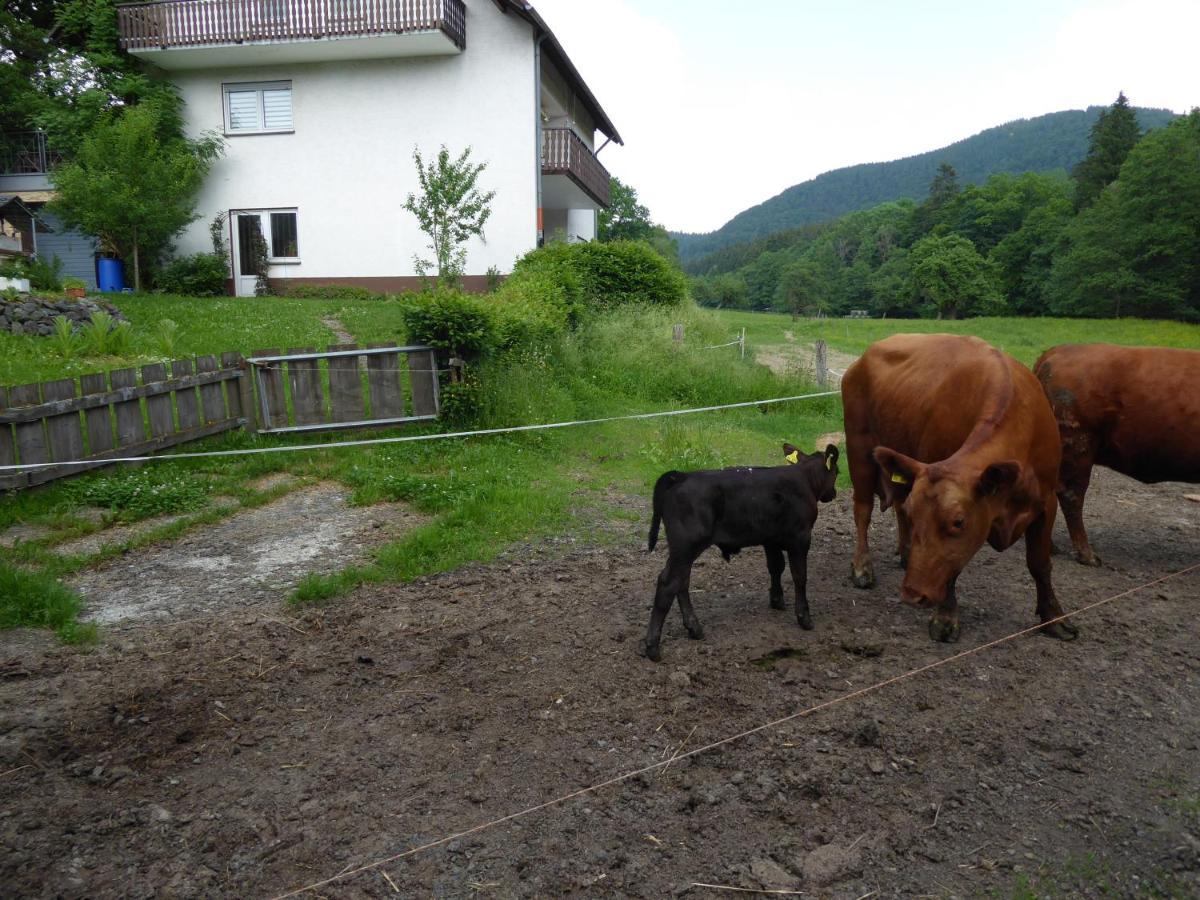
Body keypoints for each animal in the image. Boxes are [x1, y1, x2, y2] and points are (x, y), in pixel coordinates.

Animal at [643, 444, 840, 662]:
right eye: (837, 472)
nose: (833, 493)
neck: (805, 478)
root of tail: (681, 476)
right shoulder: (801, 537)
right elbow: (799, 576)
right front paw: (804, 617)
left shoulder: (770, 539)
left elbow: (776, 567)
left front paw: (777, 601)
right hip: (686, 547)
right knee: (668, 583)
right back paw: (652, 646)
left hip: (682, 551)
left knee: (681, 582)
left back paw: (694, 628)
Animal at [844, 336, 1080, 643]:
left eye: (958, 522)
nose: (912, 594)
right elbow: (951, 568)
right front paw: (945, 618)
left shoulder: (1046, 502)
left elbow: (1040, 564)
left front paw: (1054, 618)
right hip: (858, 450)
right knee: (863, 510)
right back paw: (862, 567)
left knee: (895, 505)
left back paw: (906, 555)